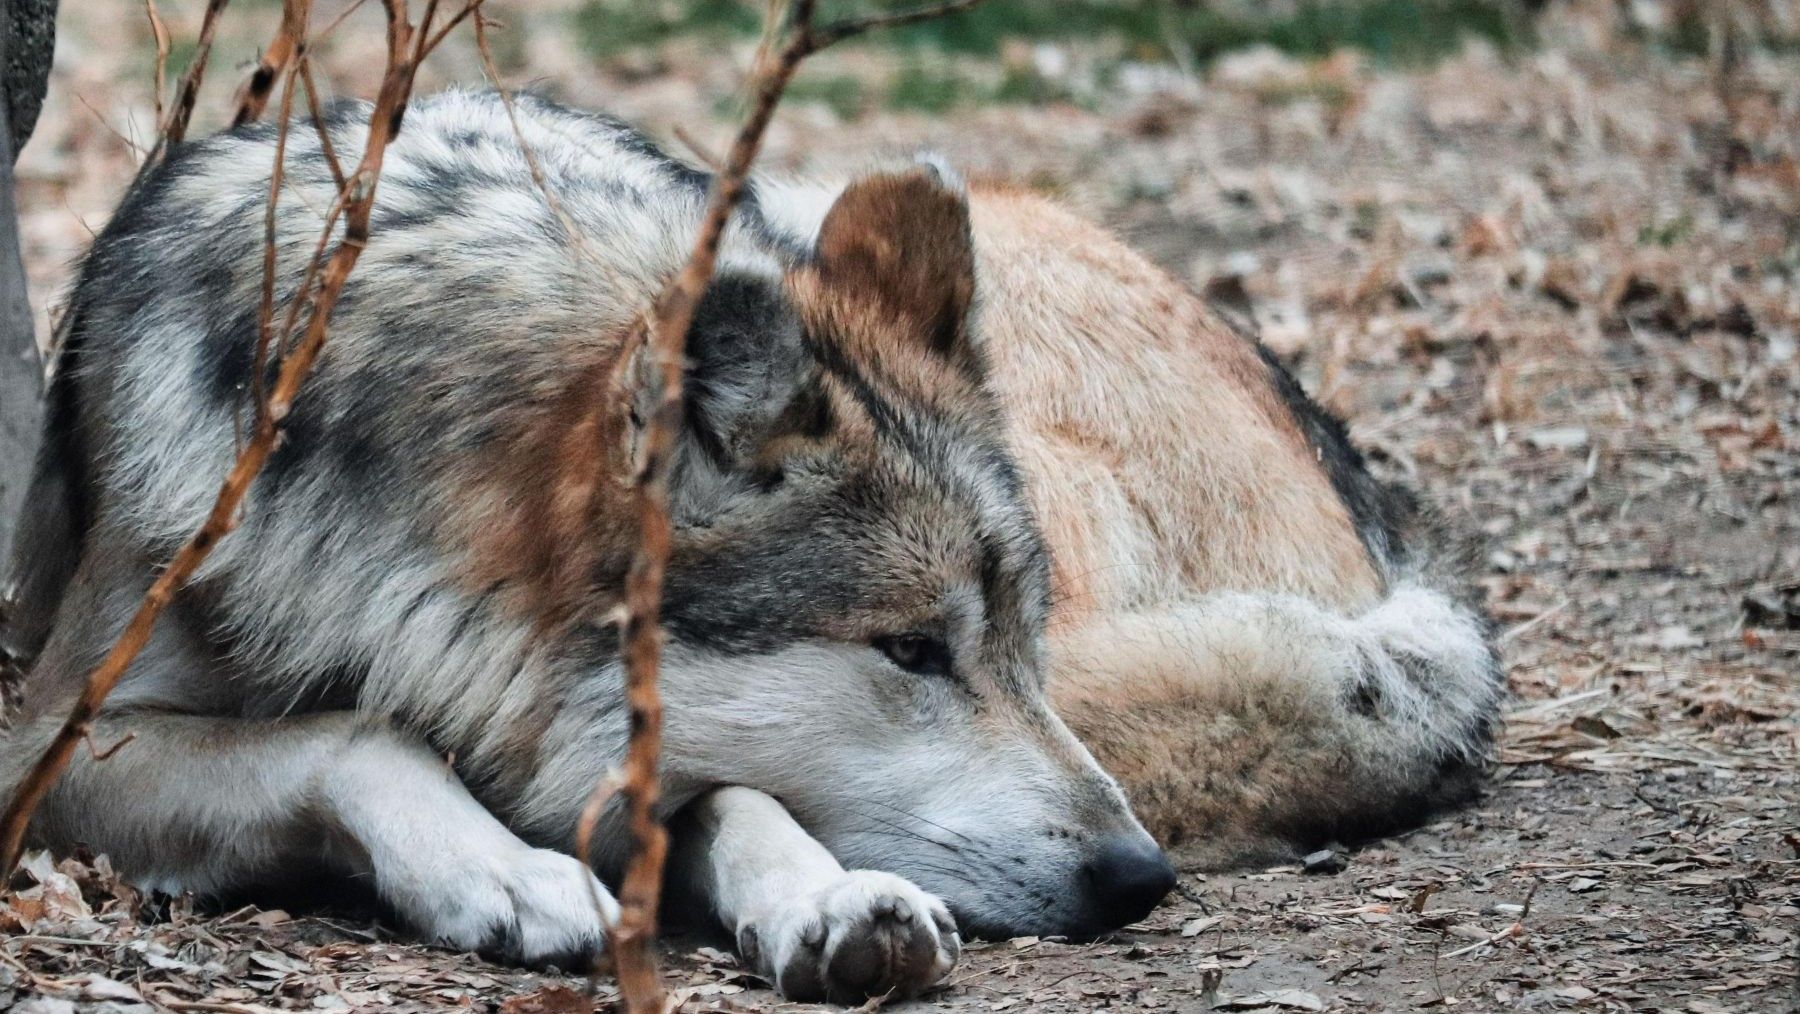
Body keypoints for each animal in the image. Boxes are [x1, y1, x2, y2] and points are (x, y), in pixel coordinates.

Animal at [0, 90, 1501, 1003]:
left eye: (1007, 646)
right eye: (912, 652)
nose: (1141, 879)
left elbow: (737, 794)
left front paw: (832, 902)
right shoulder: (53, 744)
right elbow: (355, 733)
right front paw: (506, 868)